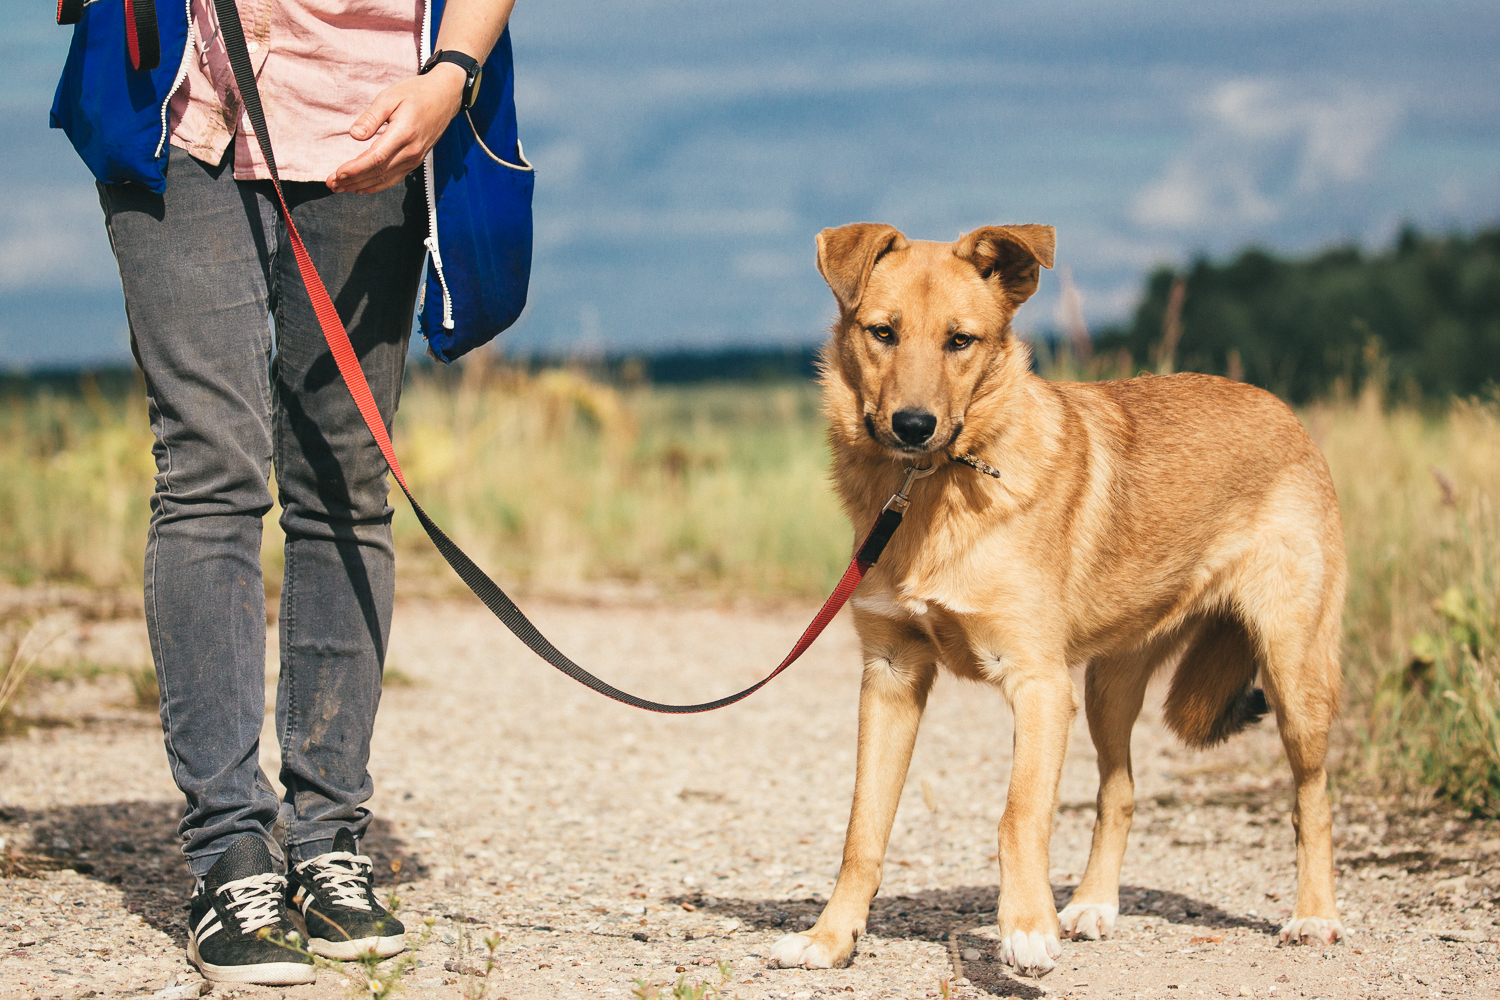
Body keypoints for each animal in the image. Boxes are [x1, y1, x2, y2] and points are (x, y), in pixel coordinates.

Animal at [774, 220, 1350, 977]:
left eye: (961, 340)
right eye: (882, 333)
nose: (913, 425)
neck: (930, 493)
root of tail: (1285, 412)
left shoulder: (1039, 685)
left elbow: (1020, 815)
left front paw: (1024, 929)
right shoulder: (892, 677)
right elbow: (863, 829)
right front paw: (832, 936)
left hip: (1293, 674)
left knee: (1312, 797)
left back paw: (1314, 916)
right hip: (1109, 688)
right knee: (1120, 792)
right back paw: (1093, 905)